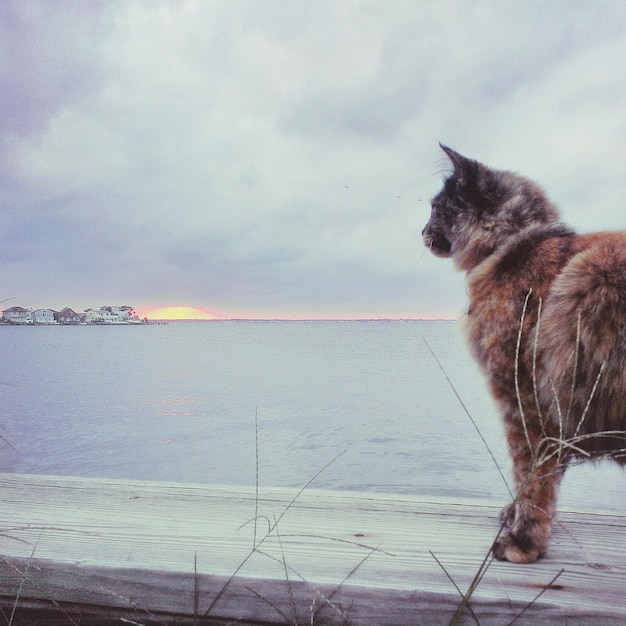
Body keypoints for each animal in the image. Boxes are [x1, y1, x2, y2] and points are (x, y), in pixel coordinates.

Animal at [420, 145, 624, 560]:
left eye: (435, 208)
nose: (421, 233)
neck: (512, 247)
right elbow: (537, 477)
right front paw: (516, 519)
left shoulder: (523, 398)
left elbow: (532, 476)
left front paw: (523, 540)